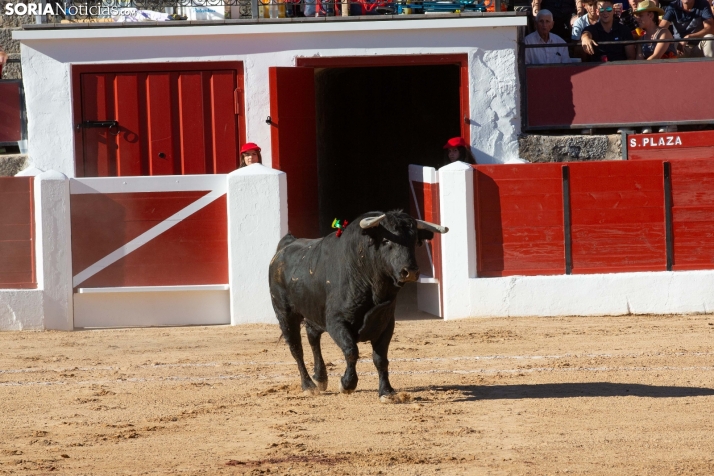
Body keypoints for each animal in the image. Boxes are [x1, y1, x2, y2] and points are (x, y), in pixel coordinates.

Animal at [268, 211, 444, 402]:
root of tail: (286, 245)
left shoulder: (386, 324)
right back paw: (308, 385)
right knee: (296, 349)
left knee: (313, 337)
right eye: (386, 240)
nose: (410, 271)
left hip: (313, 312)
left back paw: (320, 378)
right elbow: (351, 350)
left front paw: (386, 392)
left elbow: (381, 359)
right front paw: (347, 385)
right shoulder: (336, 322)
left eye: (414, 241)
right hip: (285, 314)